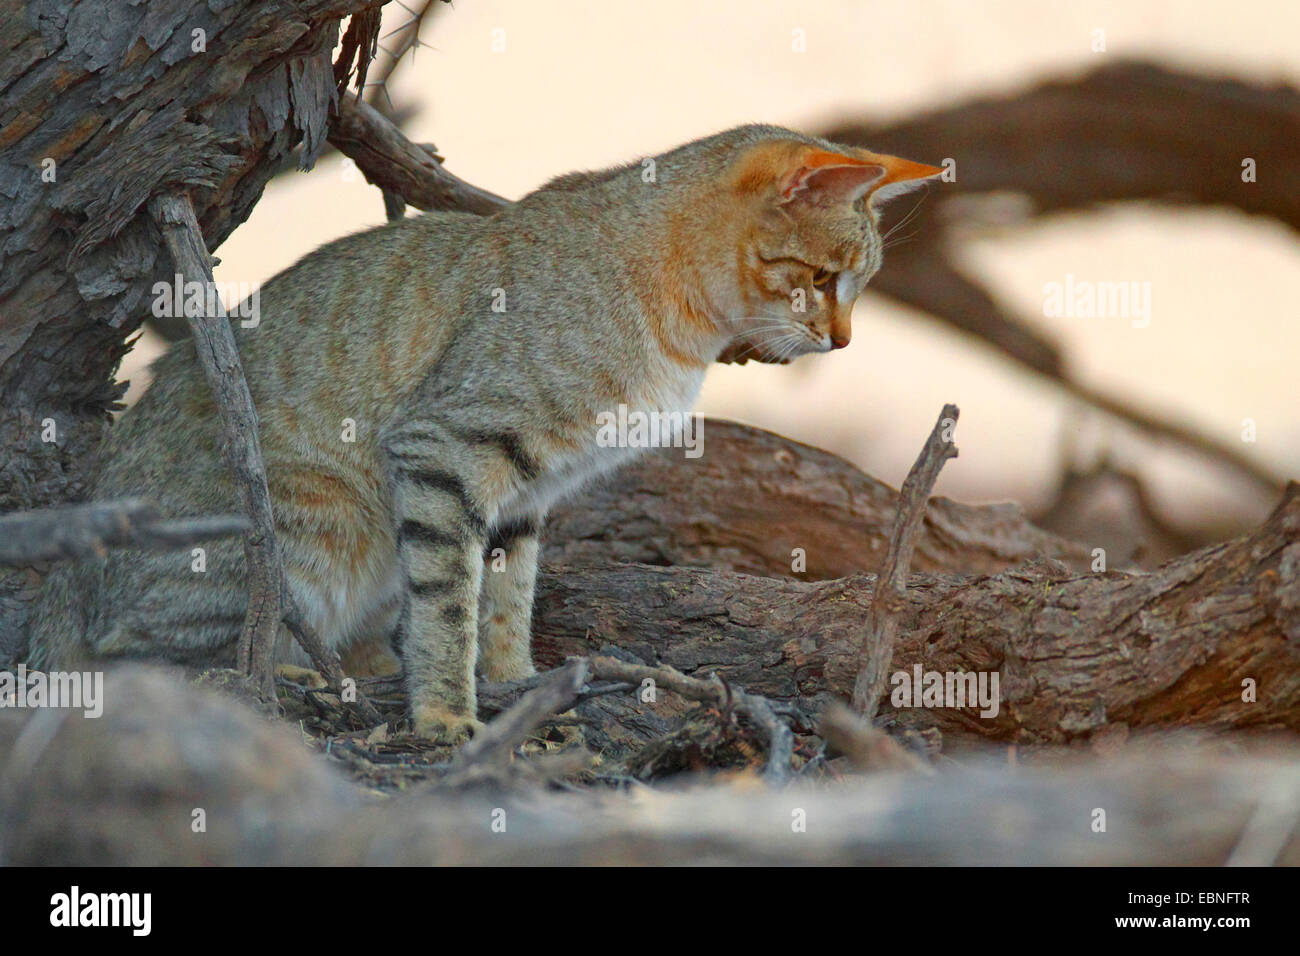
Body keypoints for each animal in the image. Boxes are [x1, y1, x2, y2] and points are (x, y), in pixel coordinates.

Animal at [25, 123, 941, 743]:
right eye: (820, 277)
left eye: (860, 287)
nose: (844, 340)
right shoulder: (446, 447)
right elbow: (450, 602)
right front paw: (444, 712)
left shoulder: (526, 492)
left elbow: (507, 600)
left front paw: (516, 688)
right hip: (311, 523)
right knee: (142, 658)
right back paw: (302, 675)